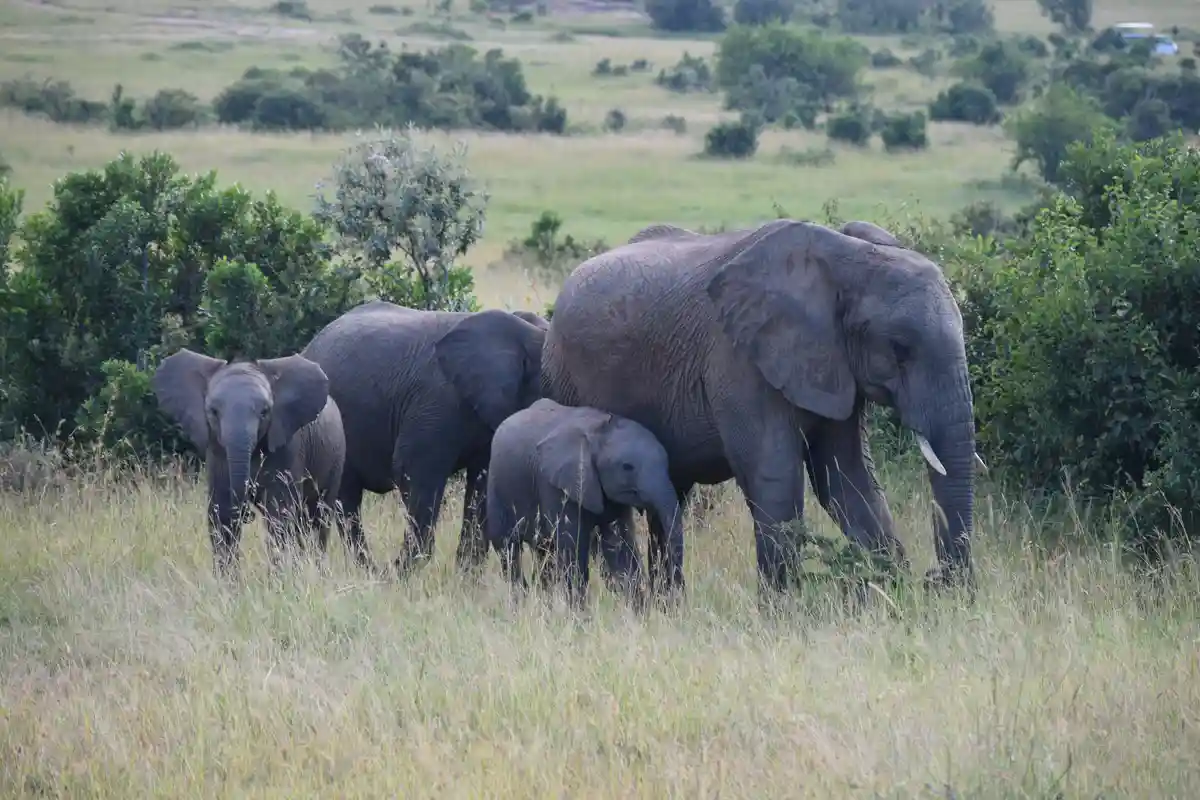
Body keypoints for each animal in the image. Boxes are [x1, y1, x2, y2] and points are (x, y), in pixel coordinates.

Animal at [152, 348, 348, 579]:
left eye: (265, 412)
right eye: (213, 411)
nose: (246, 512)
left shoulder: (289, 445)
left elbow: (279, 515)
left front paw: (280, 579)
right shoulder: (217, 450)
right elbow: (221, 514)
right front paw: (228, 582)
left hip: (336, 457)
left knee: (318, 518)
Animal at [300, 301, 549, 578]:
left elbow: (482, 485)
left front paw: (465, 576)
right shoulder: (435, 402)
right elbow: (412, 471)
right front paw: (401, 575)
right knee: (347, 498)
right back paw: (371, 571)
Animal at [486, 398, 683, 608]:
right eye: (627, 467)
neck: (598, 430)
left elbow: (619, 547)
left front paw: (638, 611)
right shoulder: (555, 485)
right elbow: (572, 549)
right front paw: (579, 613)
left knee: (543, 553)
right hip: (497, 488)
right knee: (508, 549)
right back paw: (520, 603)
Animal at [541, 218, 982, 599]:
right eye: (900, 349)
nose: (937, 581)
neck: (844, 258)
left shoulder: (838, 365)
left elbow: (847, 478)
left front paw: (892, 598)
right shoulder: (739, 360)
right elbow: (776, 479)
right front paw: (784, 614)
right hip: (565, 377)